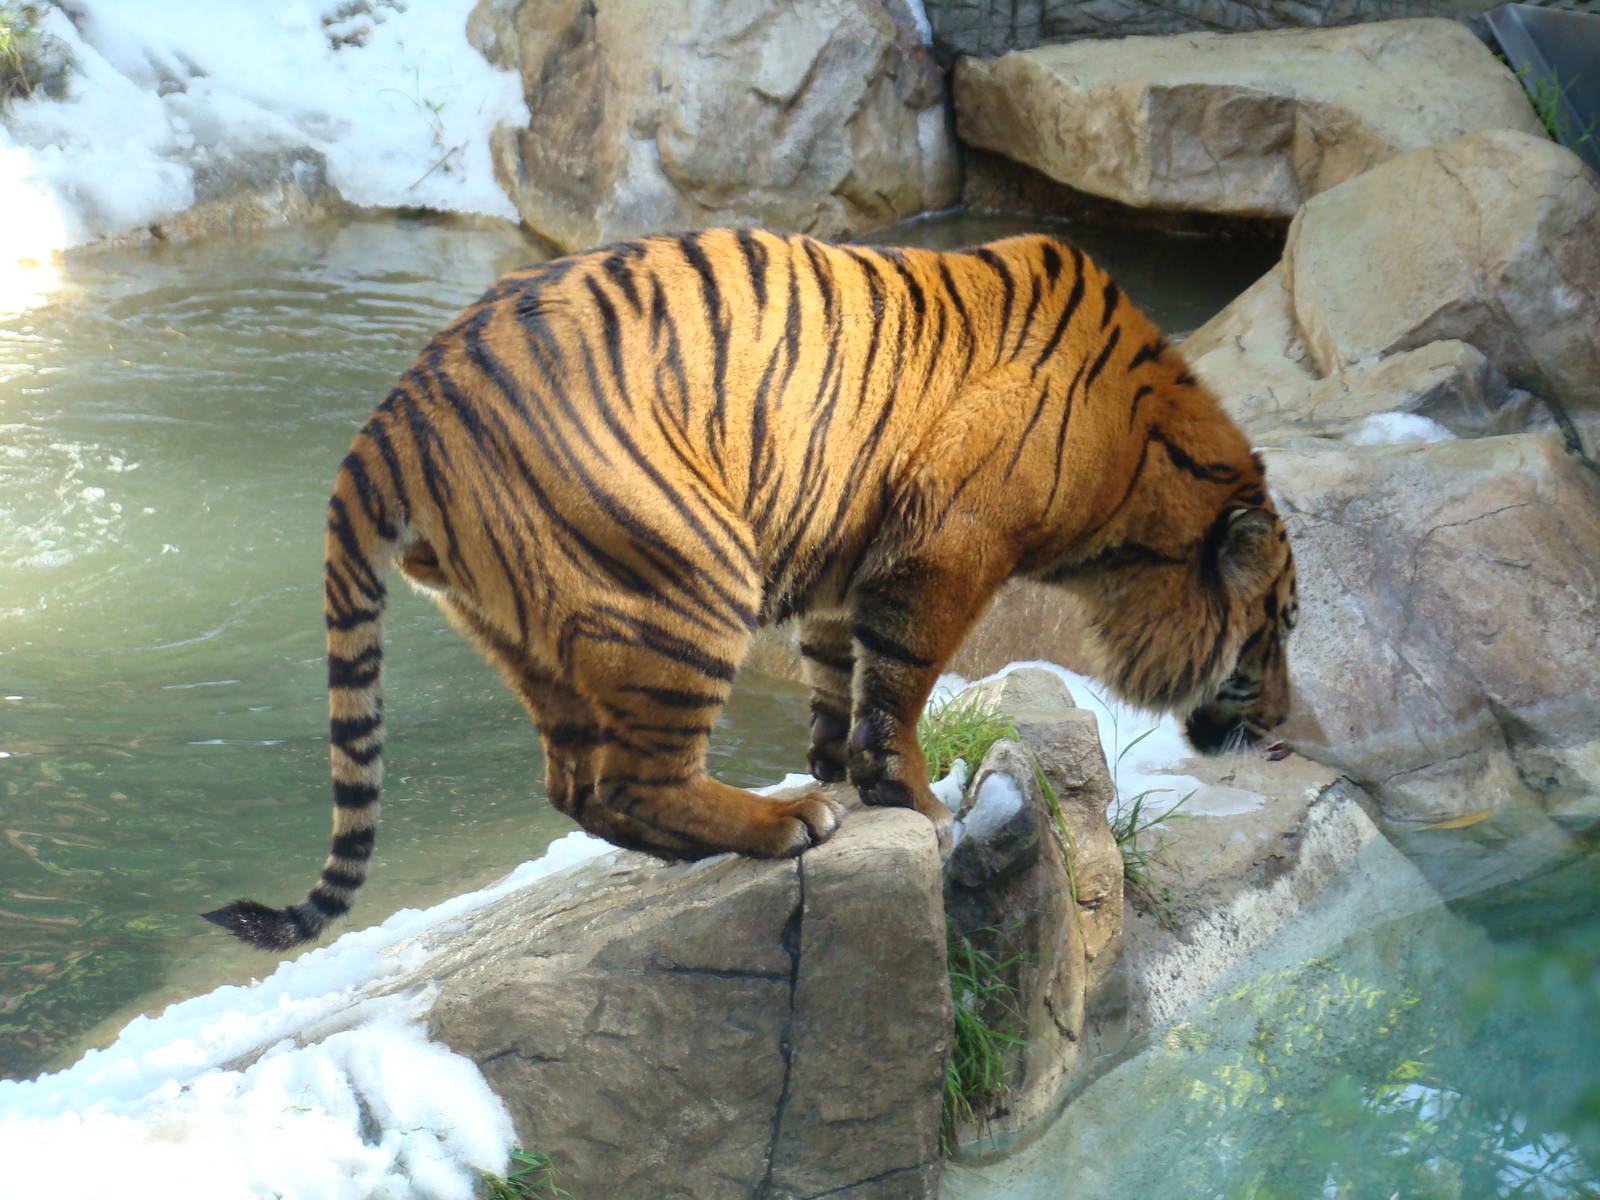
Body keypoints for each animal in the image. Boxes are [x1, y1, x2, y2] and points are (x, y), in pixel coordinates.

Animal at [203, 228, 1297, 951]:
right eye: (1274, 637)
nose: (1287, 725)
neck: (1144, 466)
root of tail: (394, 413)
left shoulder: (849, 557)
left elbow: (833, 671)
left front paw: (834, 765)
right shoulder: (950, 547)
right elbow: (899, 684)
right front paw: (915, 801)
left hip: (531, 626)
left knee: (578, 786)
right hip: (685, 577)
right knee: (632, 777)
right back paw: (781, 827)